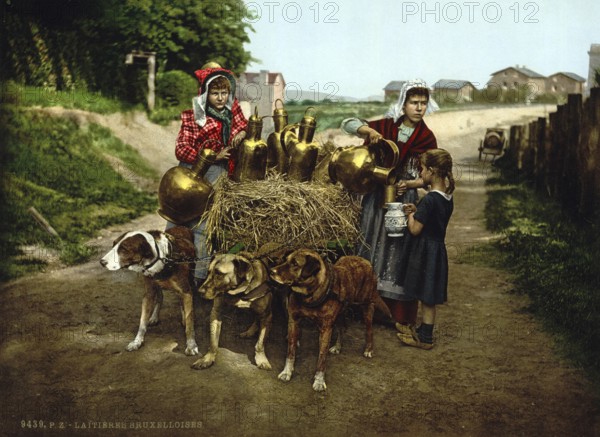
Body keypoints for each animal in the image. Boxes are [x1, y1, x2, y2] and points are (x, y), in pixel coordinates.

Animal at [99, 227, 199, 356]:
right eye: (114, 244)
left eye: (124, 249)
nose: (101, 262)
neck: (162, 259)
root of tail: (182, 227)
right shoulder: (149, 293)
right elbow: (142, 321)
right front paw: (137, 341)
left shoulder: (186, 291)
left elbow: (190, 320)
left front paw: (191, 345)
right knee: (160, 297)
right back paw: (154, 317)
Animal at [270, 249, 392, 392]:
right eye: (285, 260)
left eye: (295, 263)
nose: (271, 271)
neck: (309, 295)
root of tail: (365, 261)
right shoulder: (293, 322)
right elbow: (290, 351)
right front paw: (287, 372)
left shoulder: (326, 329)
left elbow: (322, 359)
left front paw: (319, 381)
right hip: (341, 312)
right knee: (342, 328)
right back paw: (338, 347)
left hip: (367, 307)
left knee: (369, 330)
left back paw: (368, 349)